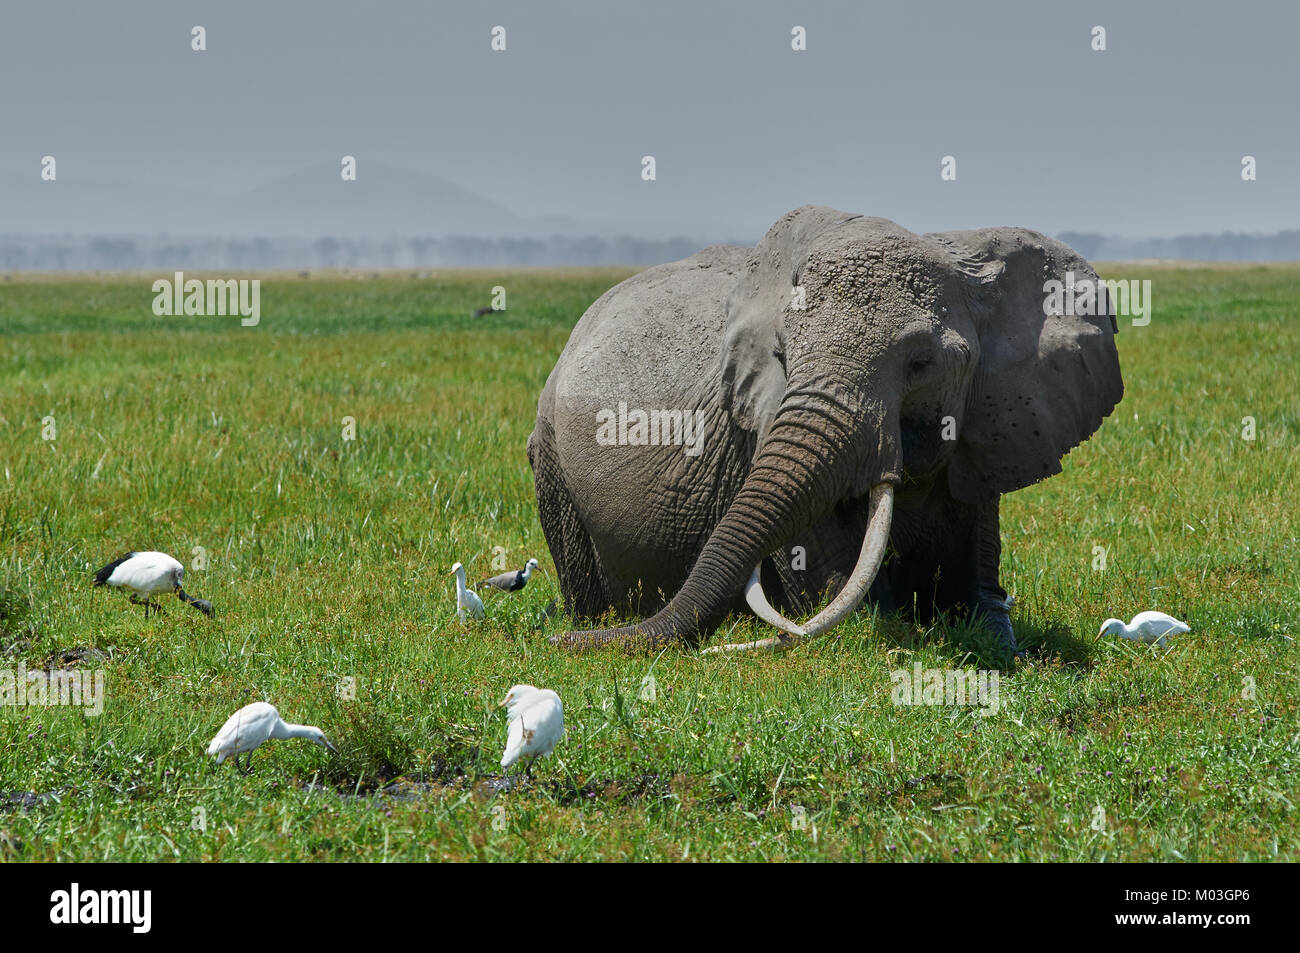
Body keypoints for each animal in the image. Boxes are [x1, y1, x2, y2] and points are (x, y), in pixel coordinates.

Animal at [527, 206, 1128, 655]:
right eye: (782, 355)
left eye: (921, 364)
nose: (560, 646)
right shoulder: (755, 430)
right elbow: (830, 579)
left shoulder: (992, 425)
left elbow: (978, 596)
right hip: (551, 457)